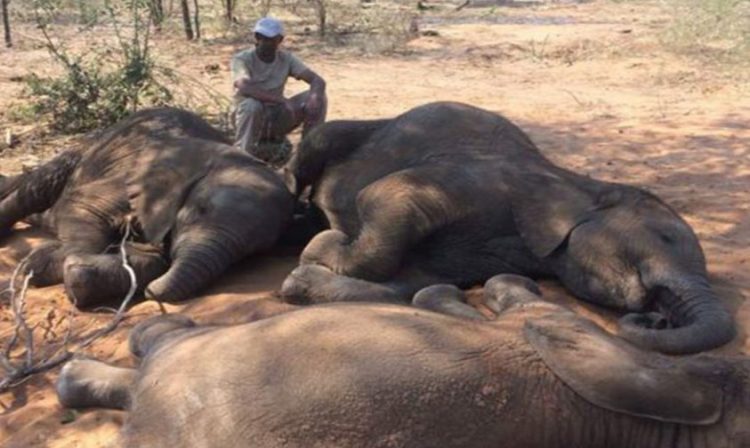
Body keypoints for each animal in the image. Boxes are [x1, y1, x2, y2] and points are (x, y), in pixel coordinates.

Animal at [0, 107, 294, 307]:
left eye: (250, 253)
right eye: (199, 210)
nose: (151, 293)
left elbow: (155, 259)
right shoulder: (132, 177)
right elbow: (82, 205)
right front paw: (43, 265)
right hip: (87, 148)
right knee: (38, 187)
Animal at [279, 101, 735, 355]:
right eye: (665, 238)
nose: (658, 320)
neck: (577, 184)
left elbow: (411, 280)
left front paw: (304, 277)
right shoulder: (483, 181)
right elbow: (384, 196)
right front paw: (322, 245)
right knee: (316, 144)